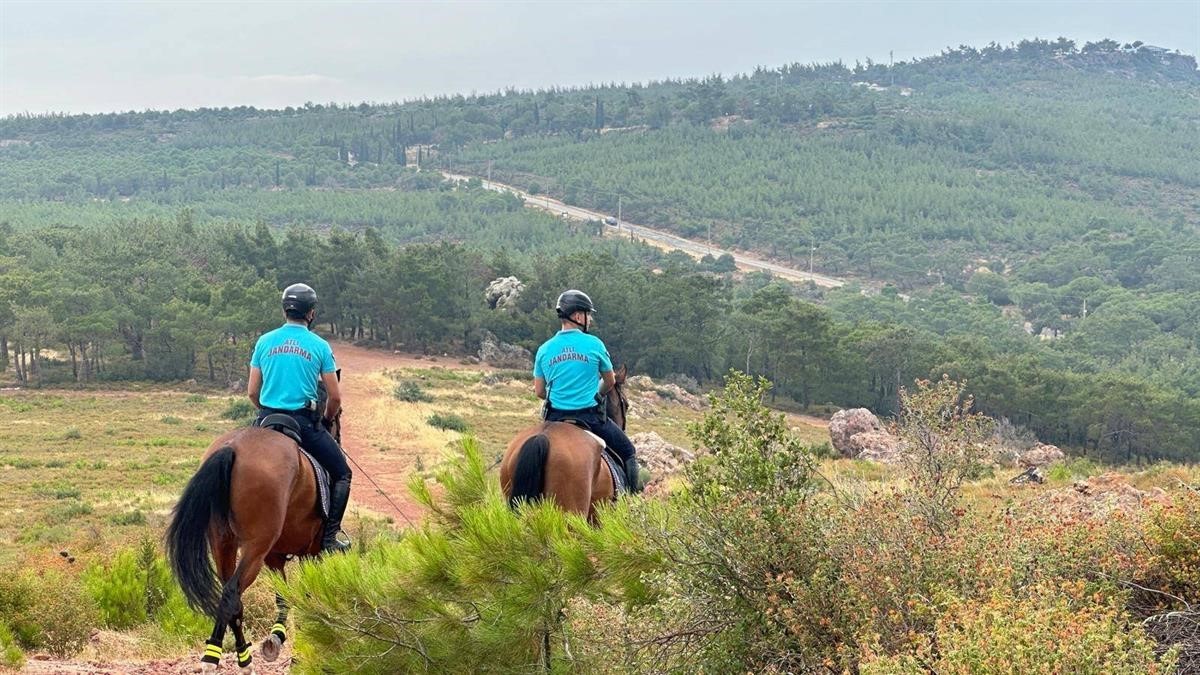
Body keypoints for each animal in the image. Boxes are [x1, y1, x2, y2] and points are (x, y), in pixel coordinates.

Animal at [166, 413, 340, 667]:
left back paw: (242, 659)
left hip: (223, 543)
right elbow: (307, 594)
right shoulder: (310, 552)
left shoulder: (275, 556)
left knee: (233, 598)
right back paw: (212, 657)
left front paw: (277, 637)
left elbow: (283, 596)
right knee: (231, 593)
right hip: (255, 548)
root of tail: (232, 447)